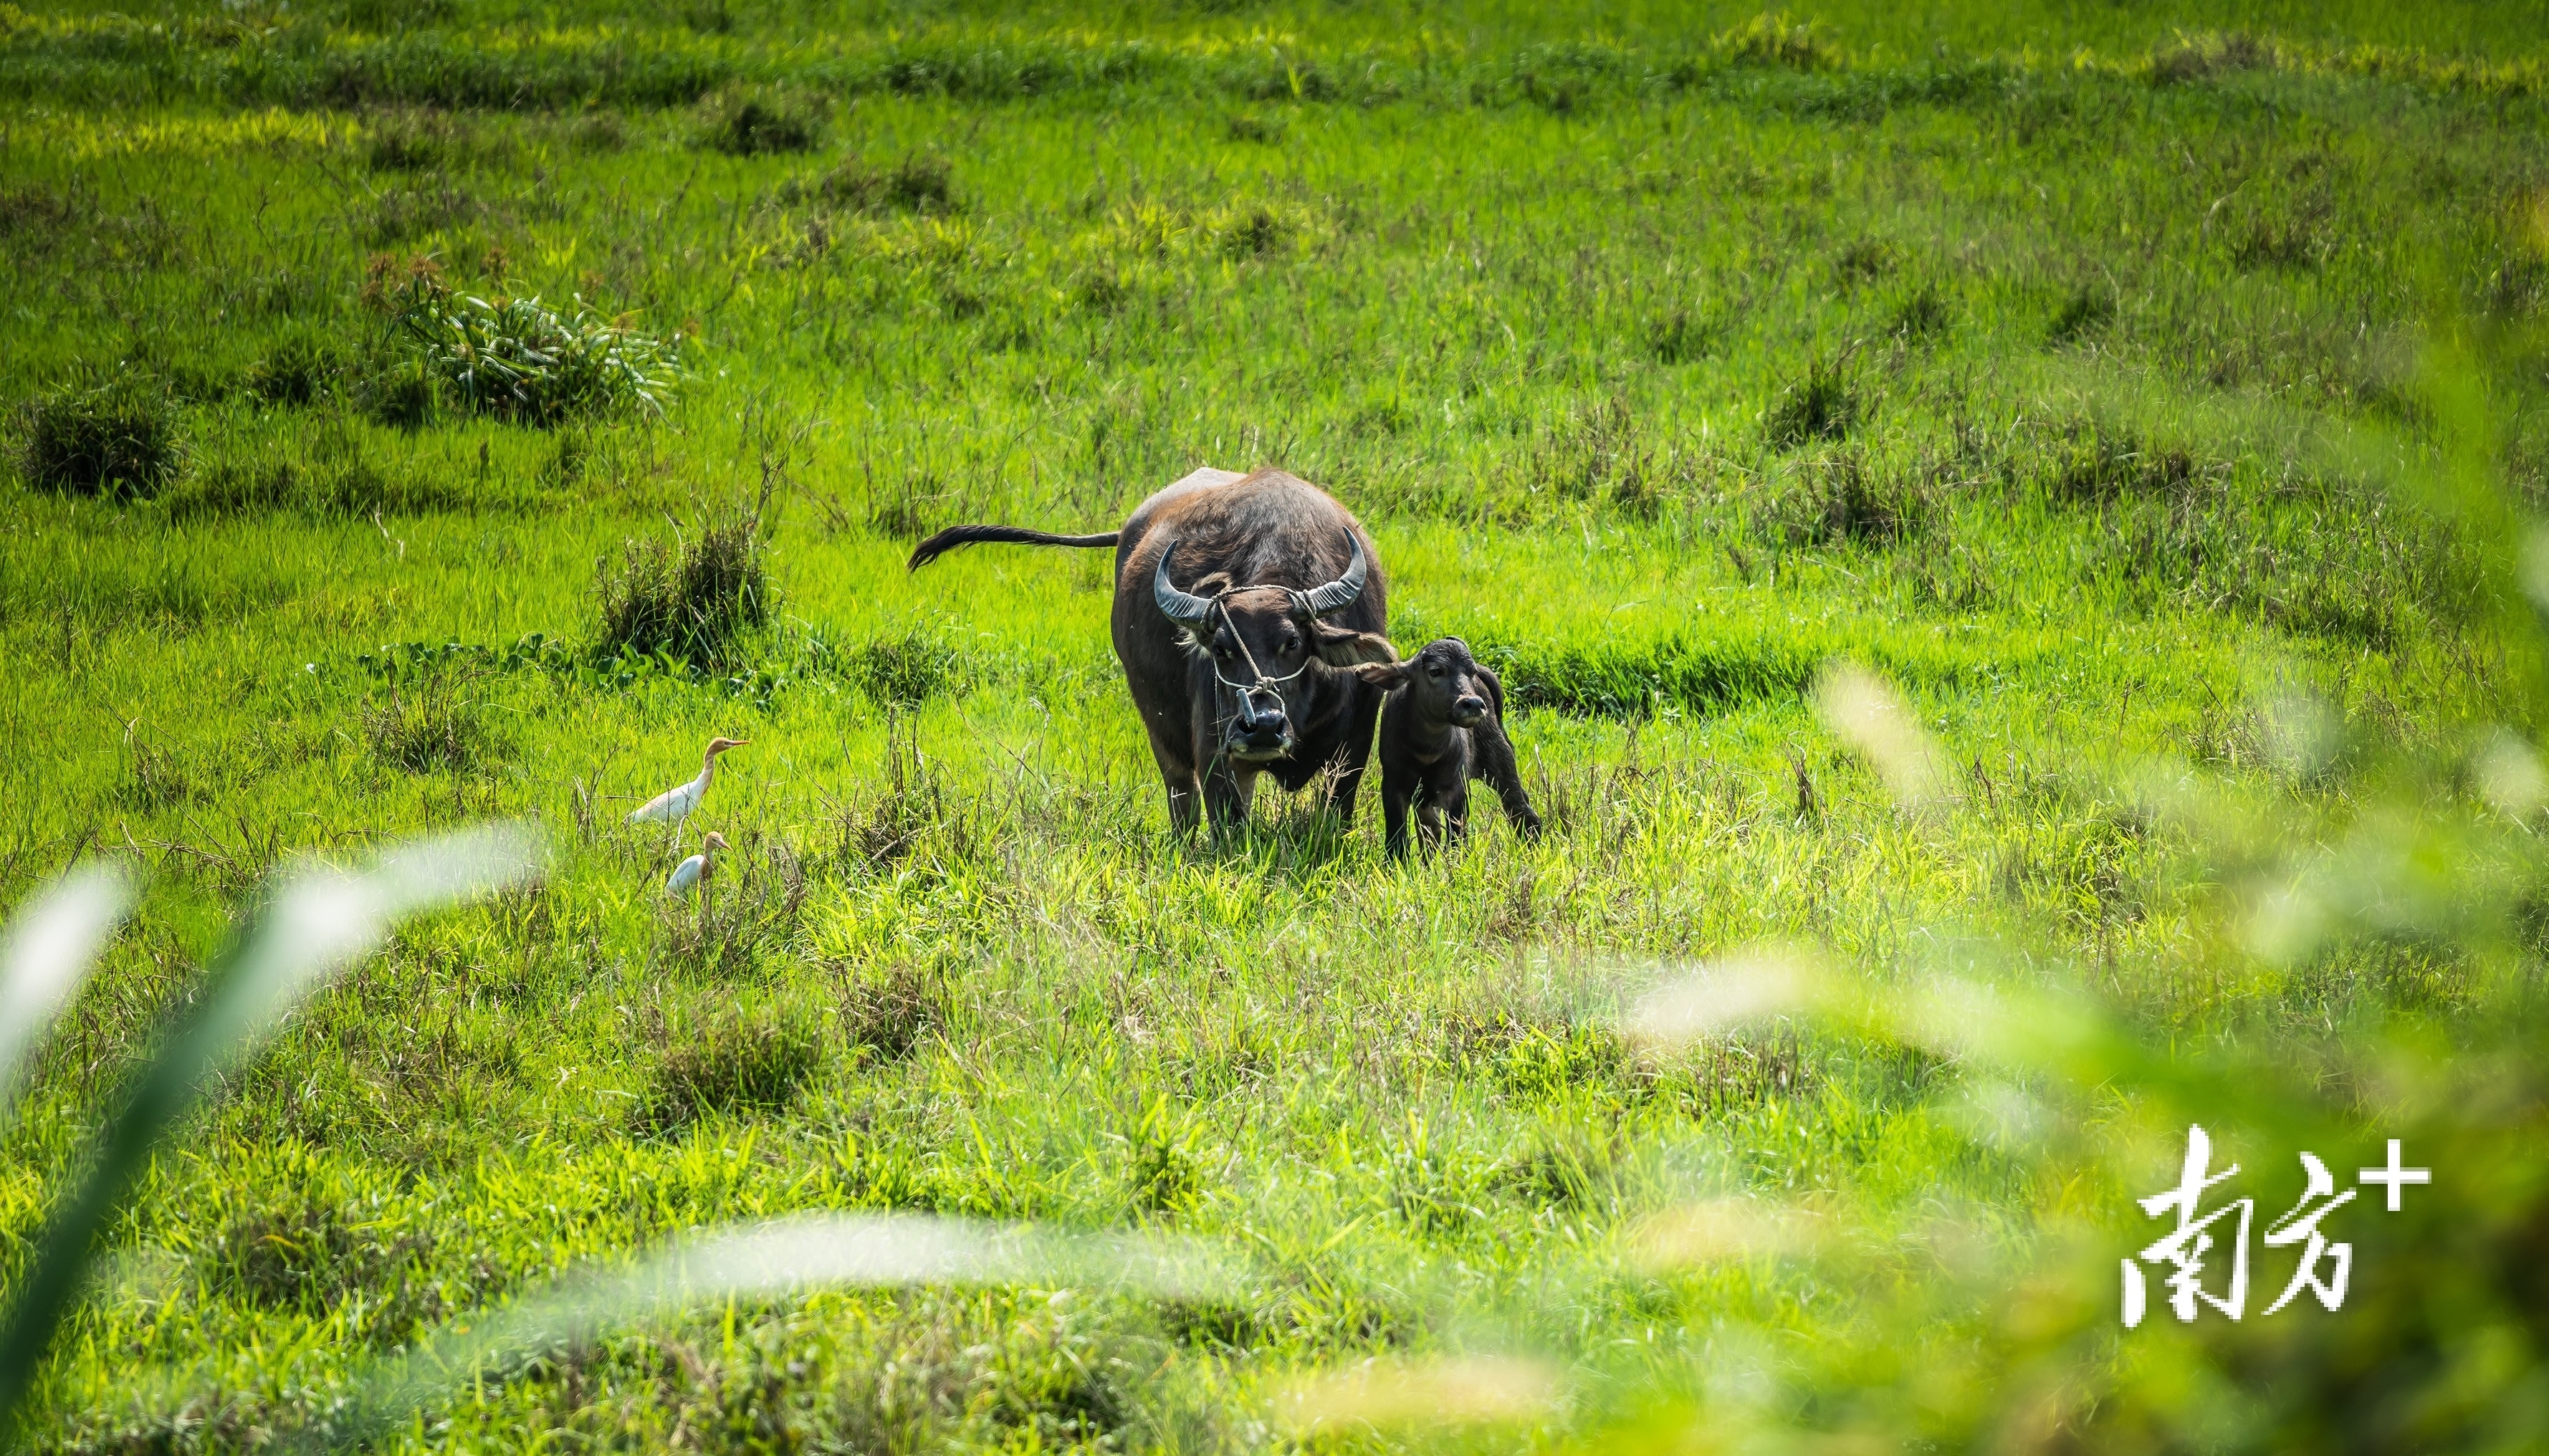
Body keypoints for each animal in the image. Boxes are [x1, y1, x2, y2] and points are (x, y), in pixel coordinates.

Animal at [912, 466, 1397, 831]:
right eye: (1221, 649)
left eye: (1293, 642)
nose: (1261, 726)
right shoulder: (1216, 753)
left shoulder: (1355, 747)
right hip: (1159, 723)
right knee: (1182, 799)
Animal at [1356, 635, 1529, 856]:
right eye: (1436, 671)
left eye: (1470, 671)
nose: (1473, 704)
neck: (1427, 752)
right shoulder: (1395, 787)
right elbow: (1398, 841)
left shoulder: (1457, 790)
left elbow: (1457, 841)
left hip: (1500, 760)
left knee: (1520, 808)